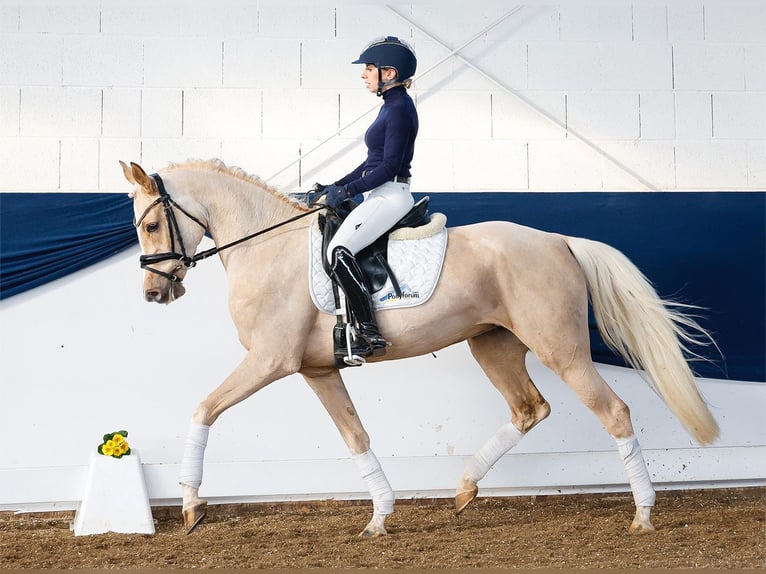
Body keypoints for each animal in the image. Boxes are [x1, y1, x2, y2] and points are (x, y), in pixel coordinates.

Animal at [120, 159, 720, 540]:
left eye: (149, 224)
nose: (152, 294)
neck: (267, 247)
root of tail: (558, 241)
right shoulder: (317, 370)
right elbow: (356, 436)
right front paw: (380, 517)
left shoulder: (270, 361)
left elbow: (203, 409)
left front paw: (191, 505)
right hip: (493, 346)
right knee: (529, 408)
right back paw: (463, 489)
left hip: (561, 349)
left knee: (613, 411)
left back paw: (643, 516)